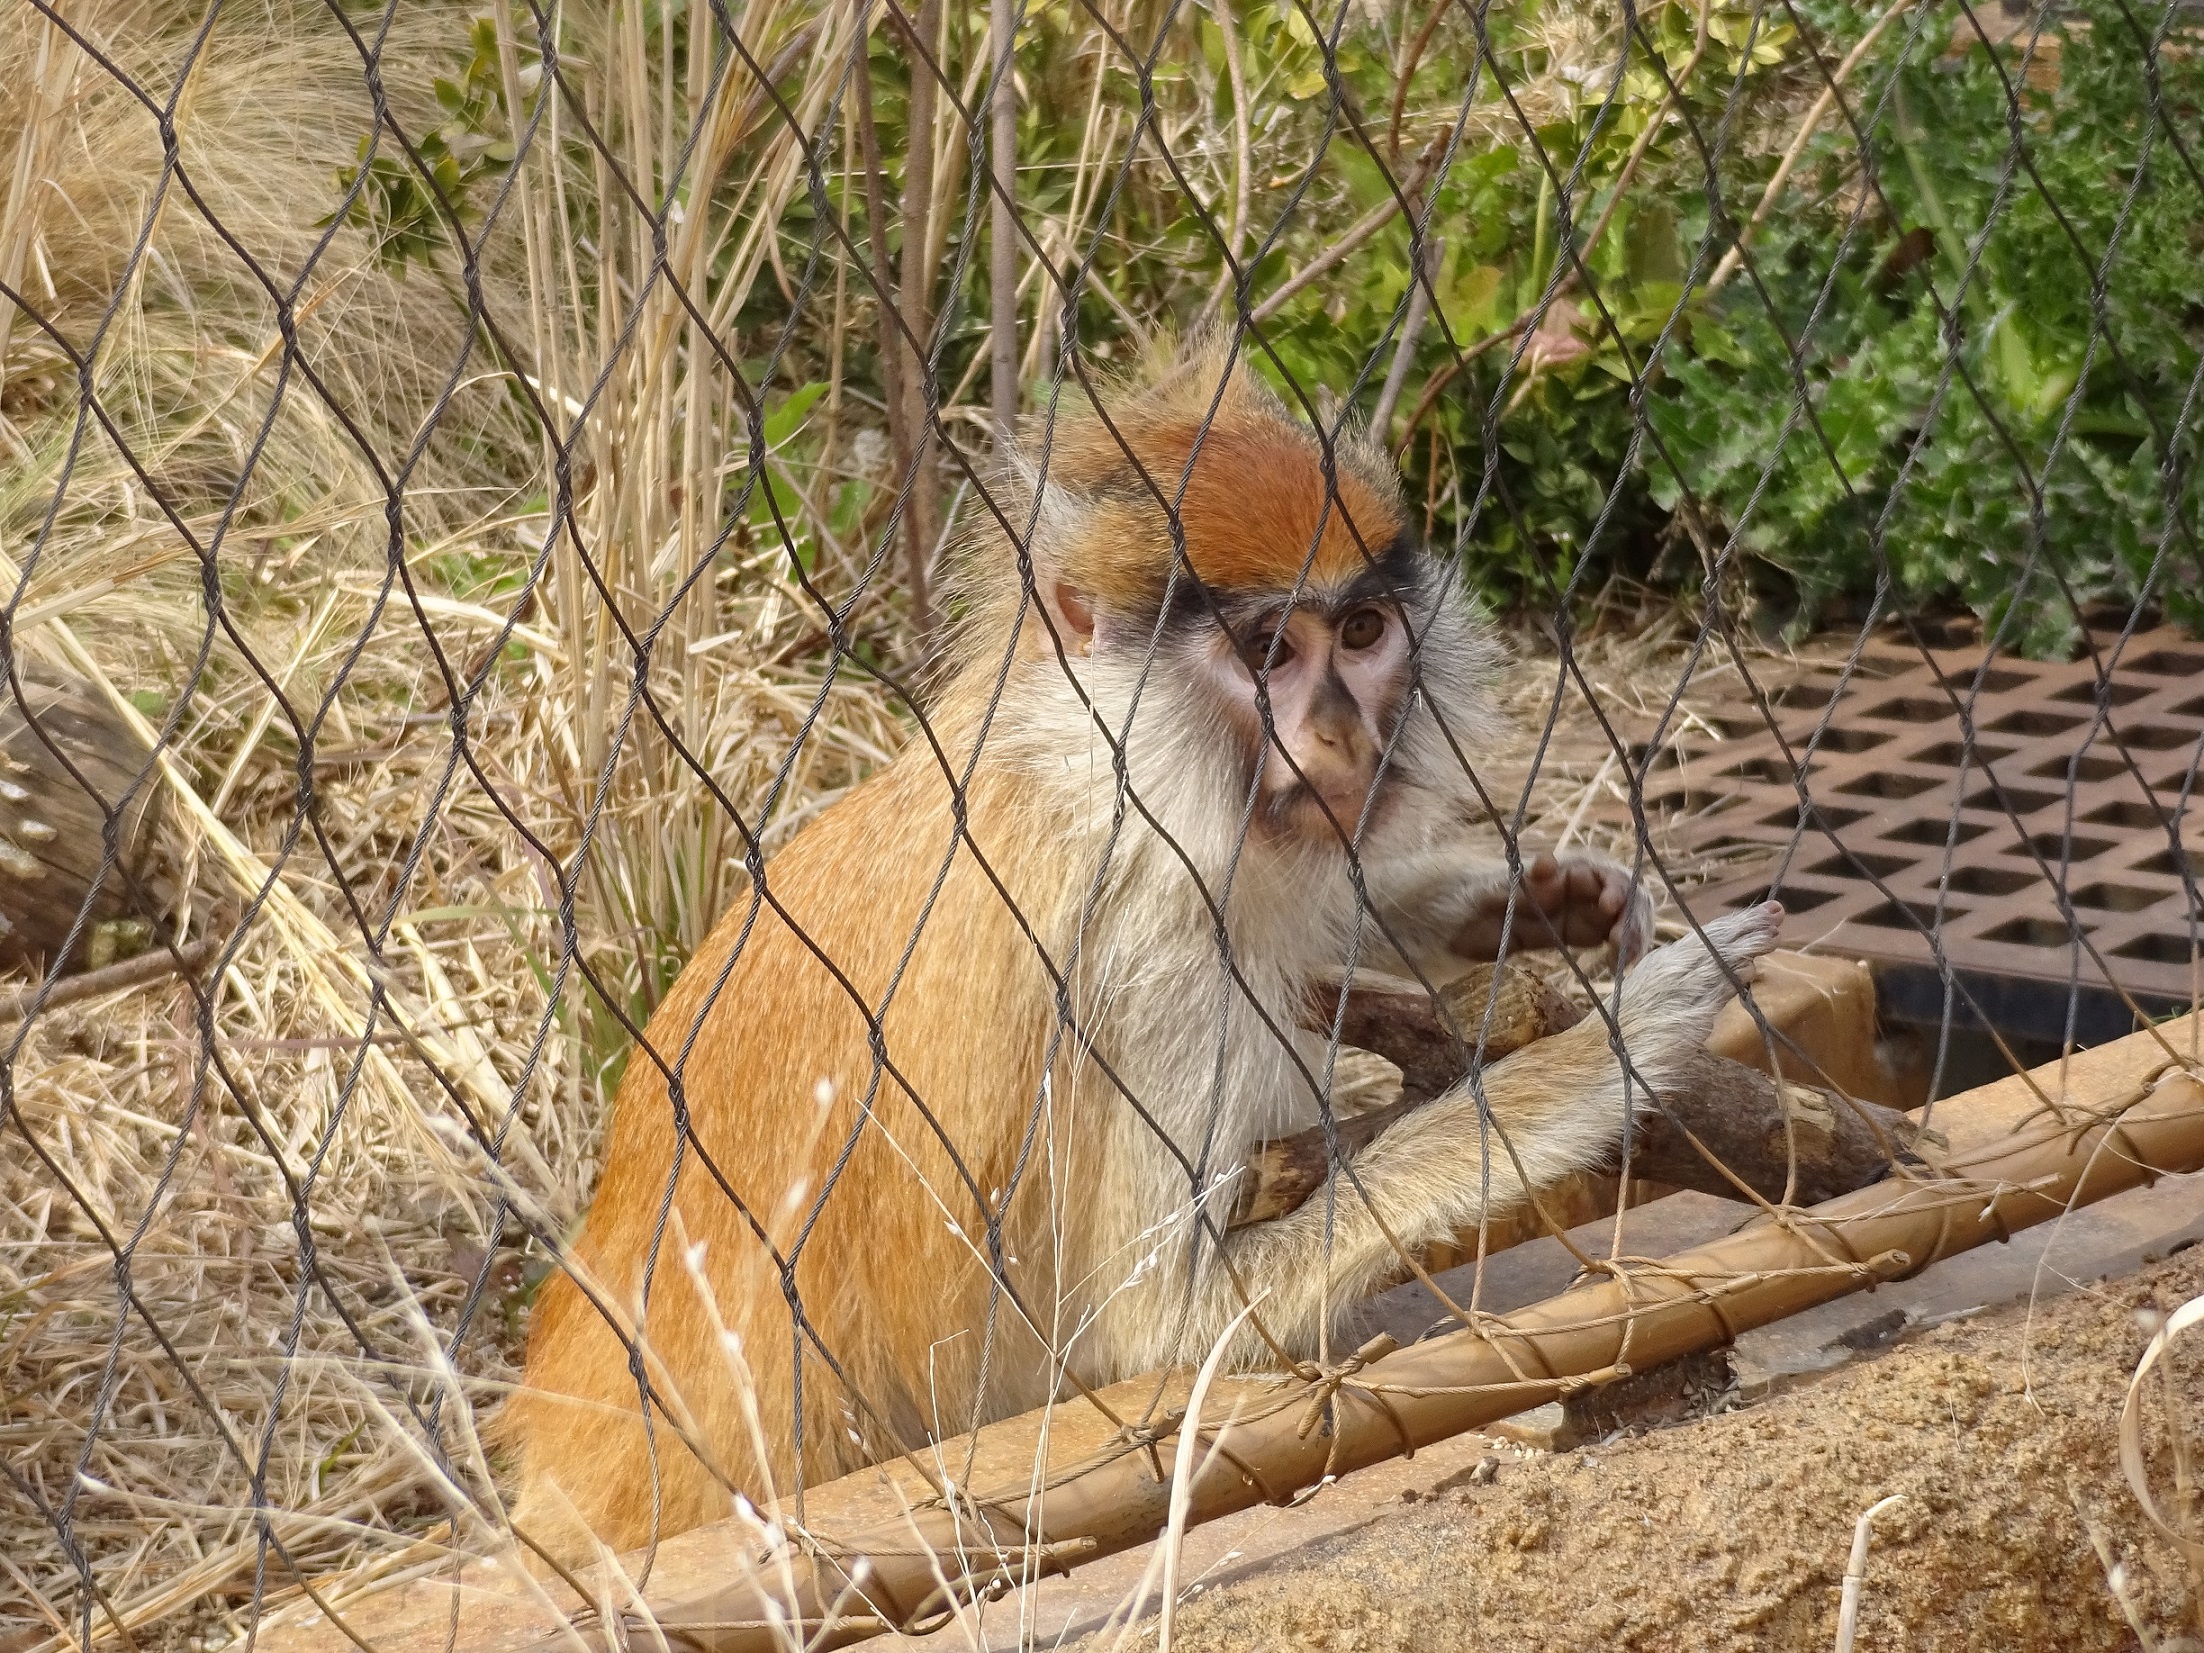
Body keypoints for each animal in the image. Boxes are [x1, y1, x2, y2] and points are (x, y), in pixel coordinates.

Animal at [506, 350, 1780, 1569]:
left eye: (1360, 633)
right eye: (1266, 653)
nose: (1340, 738)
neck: (1087, 764)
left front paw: (1527, 901)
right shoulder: (1145, 957)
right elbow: (1165, 1332)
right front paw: (1616, 1039)